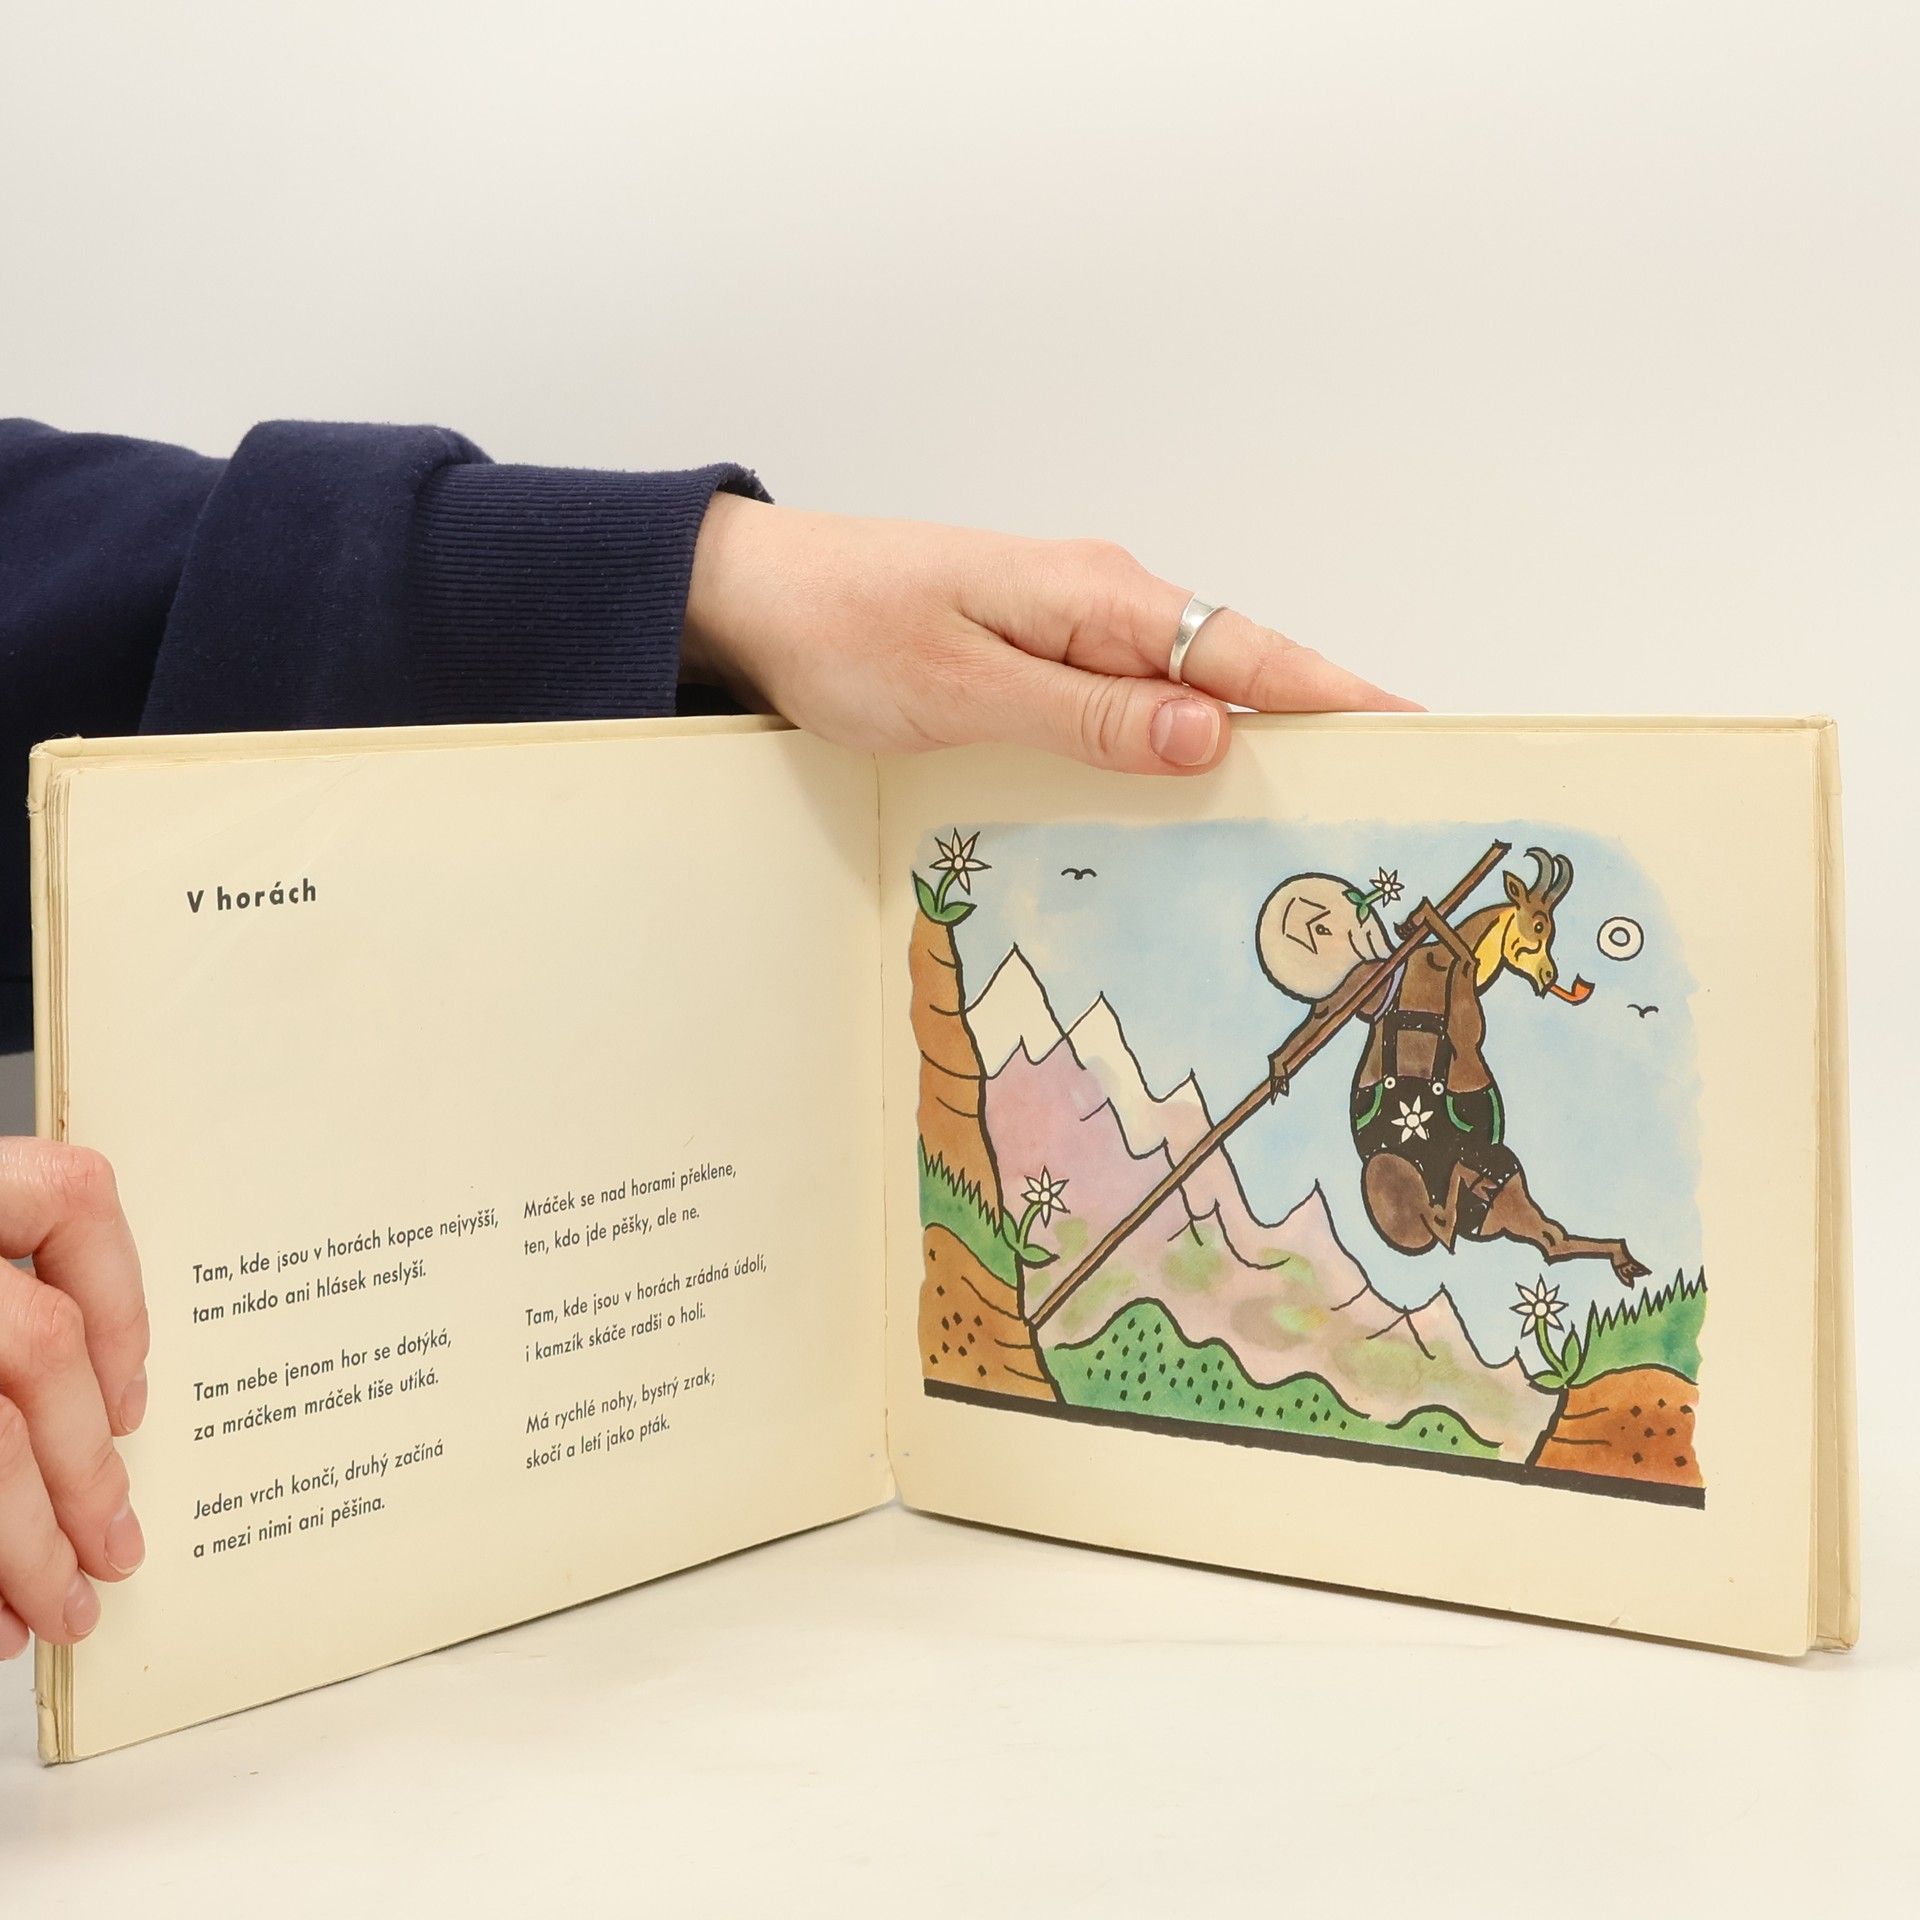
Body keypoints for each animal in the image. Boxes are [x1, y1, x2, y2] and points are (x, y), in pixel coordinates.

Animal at [1348, 846, 1648, 1286]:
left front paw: (1421, 921)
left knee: (1540, 1238)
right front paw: (1426, 919)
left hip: (1499, 1198)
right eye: (1539, 925)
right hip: (1483, 1173)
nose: (1551, 976)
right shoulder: (1464, 1030)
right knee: (1461, 1223)